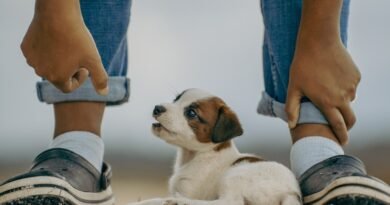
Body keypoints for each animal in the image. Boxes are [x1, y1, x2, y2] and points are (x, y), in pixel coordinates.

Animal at [128, 88, 302, 205]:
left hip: (235, 175)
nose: (157, 108)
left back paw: (178, 201)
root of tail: (292, 193)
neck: (196, 155)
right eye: (176, 99)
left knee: (229, 202)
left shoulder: (188, 190)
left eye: (191, 113)